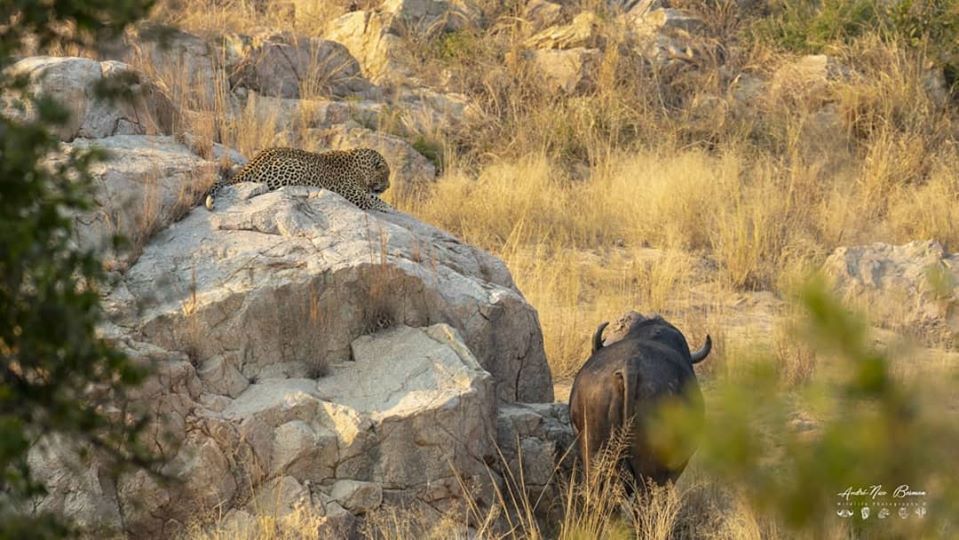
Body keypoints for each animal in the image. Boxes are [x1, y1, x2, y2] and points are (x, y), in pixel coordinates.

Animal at [204, 147, 392, 212]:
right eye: (387, 175)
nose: (389, 186)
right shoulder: (355, 195)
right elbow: (373, 201)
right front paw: (388, 208)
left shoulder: (363, 191)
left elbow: (375, 198)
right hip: (298, 169)